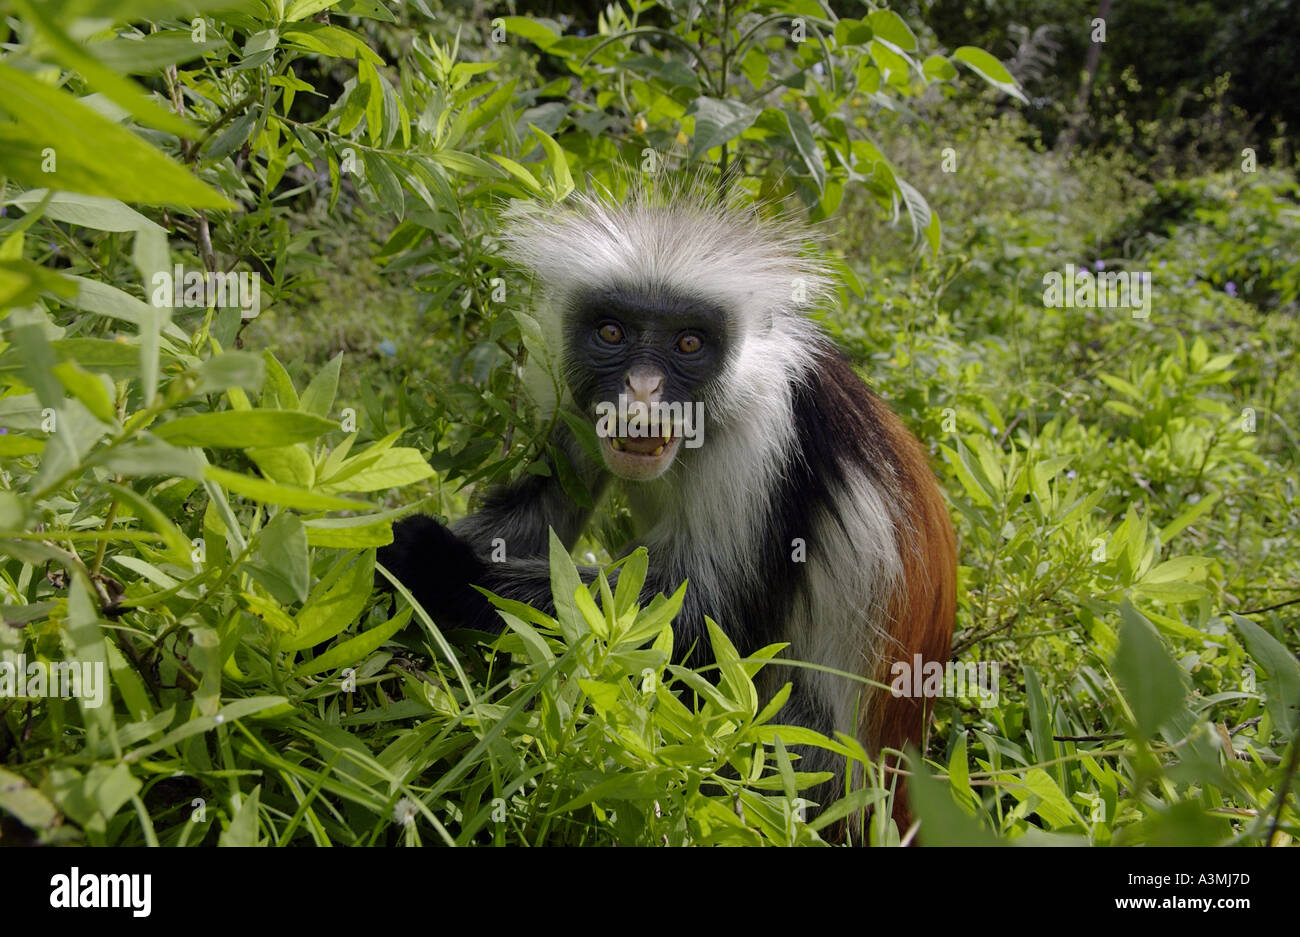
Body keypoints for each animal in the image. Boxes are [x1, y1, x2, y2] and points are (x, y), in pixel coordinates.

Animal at [379, 185, 961, 831]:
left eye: (688, 342)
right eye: (612, 333)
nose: (641, 389)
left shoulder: (763, 437)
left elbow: (703, 623)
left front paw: (435, 564)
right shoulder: (571, 397)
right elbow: (537, 516)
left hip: (818, 764)